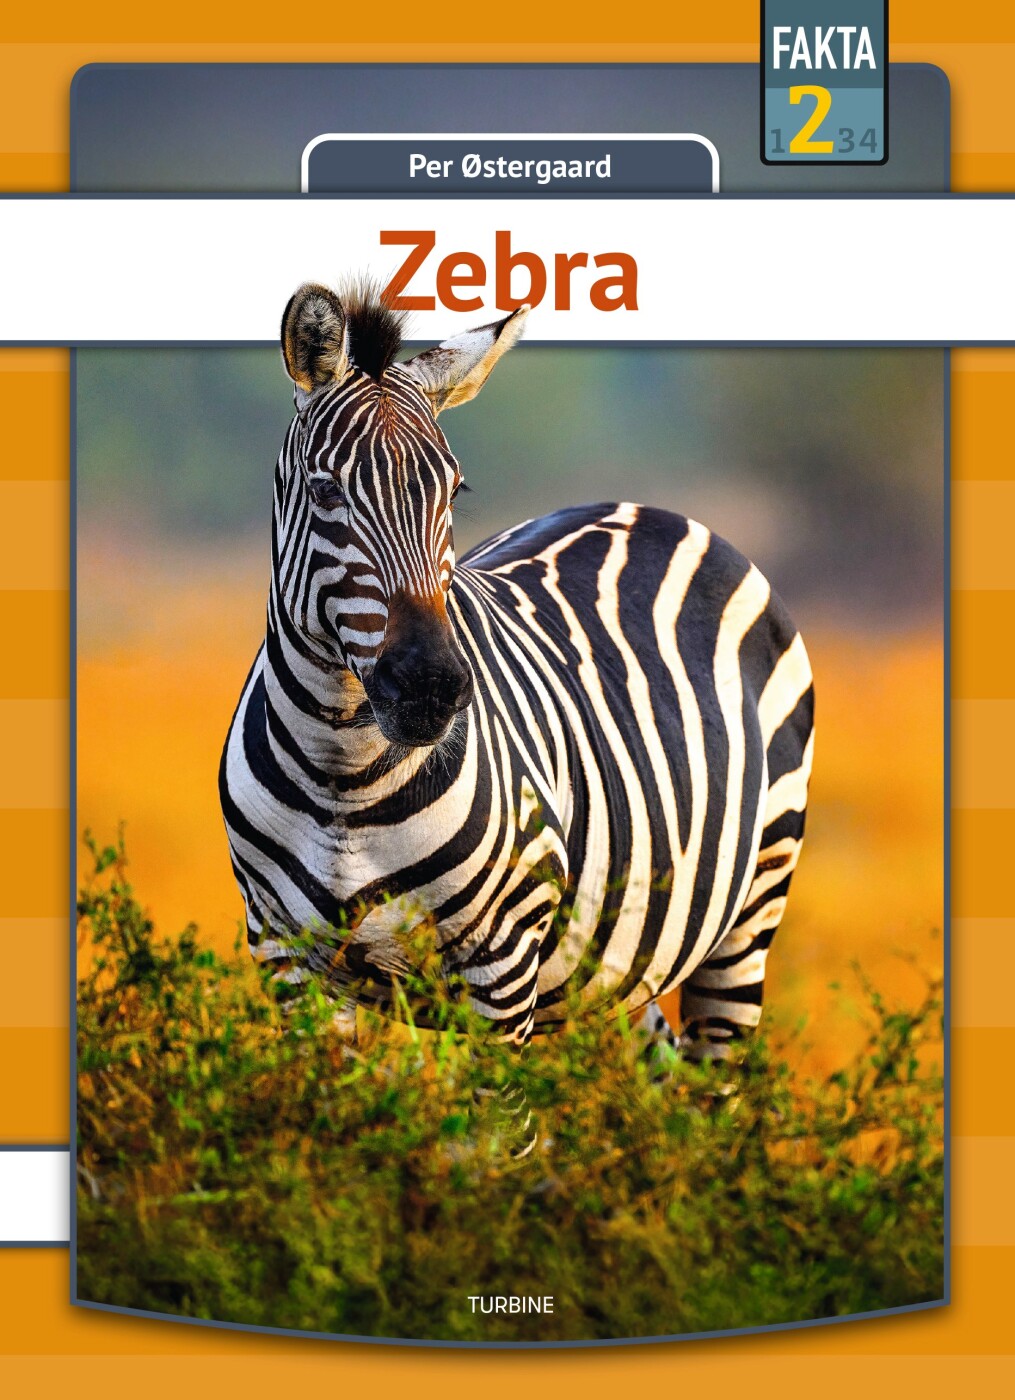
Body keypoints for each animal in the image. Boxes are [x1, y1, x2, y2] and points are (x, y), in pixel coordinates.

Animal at [219, 281, 814, 1068]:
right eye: (325, 494)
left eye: (455, 493)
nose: (431, 687)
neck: (340, 774)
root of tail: (651, 509)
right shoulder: (287, 961)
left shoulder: (500, 969)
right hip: (610, 965)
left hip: (752, 908)